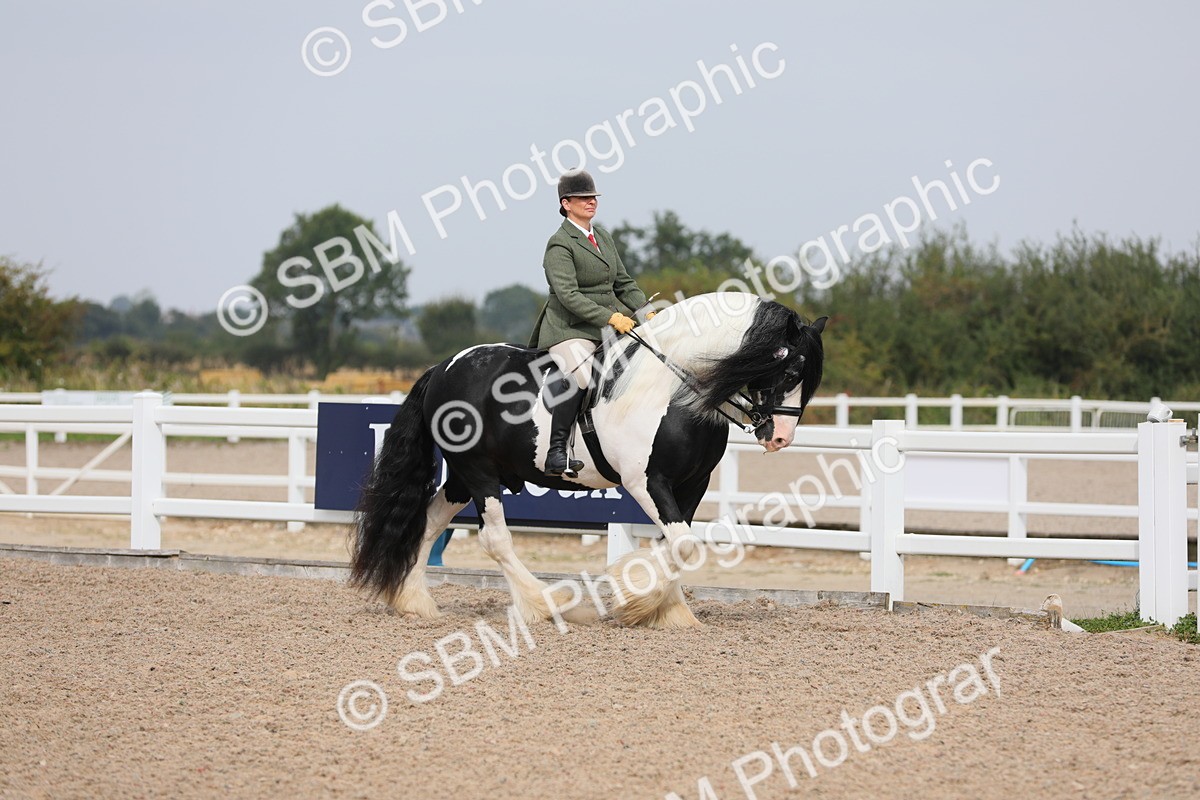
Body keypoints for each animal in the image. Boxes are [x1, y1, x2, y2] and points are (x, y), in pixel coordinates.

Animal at [349, 291, 827, 628]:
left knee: (430, 521)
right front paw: (638, 603)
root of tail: (444, 368)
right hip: (478, 472)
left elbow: (675, 545)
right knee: (495, 539)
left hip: (465, 478)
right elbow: (682, 544)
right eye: (788, 370)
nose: (780, 437)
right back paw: (548, 604)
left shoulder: (693, 484)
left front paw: (665, 610)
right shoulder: (646, 482)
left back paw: (415, 603)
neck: (672, 389)